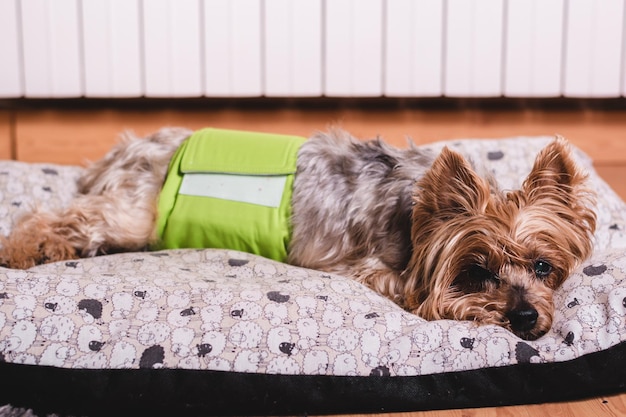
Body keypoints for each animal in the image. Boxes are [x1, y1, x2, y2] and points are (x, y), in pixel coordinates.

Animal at [1, 128, 596, 340]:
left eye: (543, 267)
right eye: (475, 272)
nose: (527, 319)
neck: (414, 213)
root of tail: (127, 147)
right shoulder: (376, 271)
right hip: (137, 213)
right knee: (59, 216)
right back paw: (22, 249)